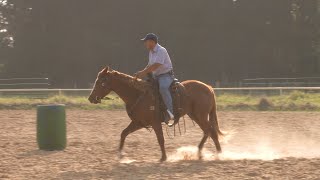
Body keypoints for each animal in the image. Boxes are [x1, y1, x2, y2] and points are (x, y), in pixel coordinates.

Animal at [87, 66, 222, 162]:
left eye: (101, 81)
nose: (91, 98)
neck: (138, 94)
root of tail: (208, 87)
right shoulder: (139, 122)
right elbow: (124, 133)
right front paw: (120, 155)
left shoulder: (155, 122)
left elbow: (160, 139)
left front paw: (163, 158)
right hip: (195, 115)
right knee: (208, 131)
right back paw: (205, 153)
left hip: (201, 115)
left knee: (211, 131)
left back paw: (214, 154)